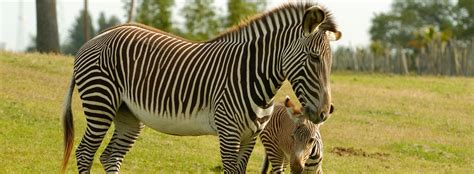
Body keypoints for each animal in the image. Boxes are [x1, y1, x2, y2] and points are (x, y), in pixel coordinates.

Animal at [61, 2, 340, 173]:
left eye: (330, 62)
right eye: (314, 58)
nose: (324, 113)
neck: (250, 74)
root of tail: (98, 37)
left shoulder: (250, 137)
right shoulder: (228, 133)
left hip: (128, 114)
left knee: (110, 156)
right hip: (100, 102)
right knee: (85, 152)